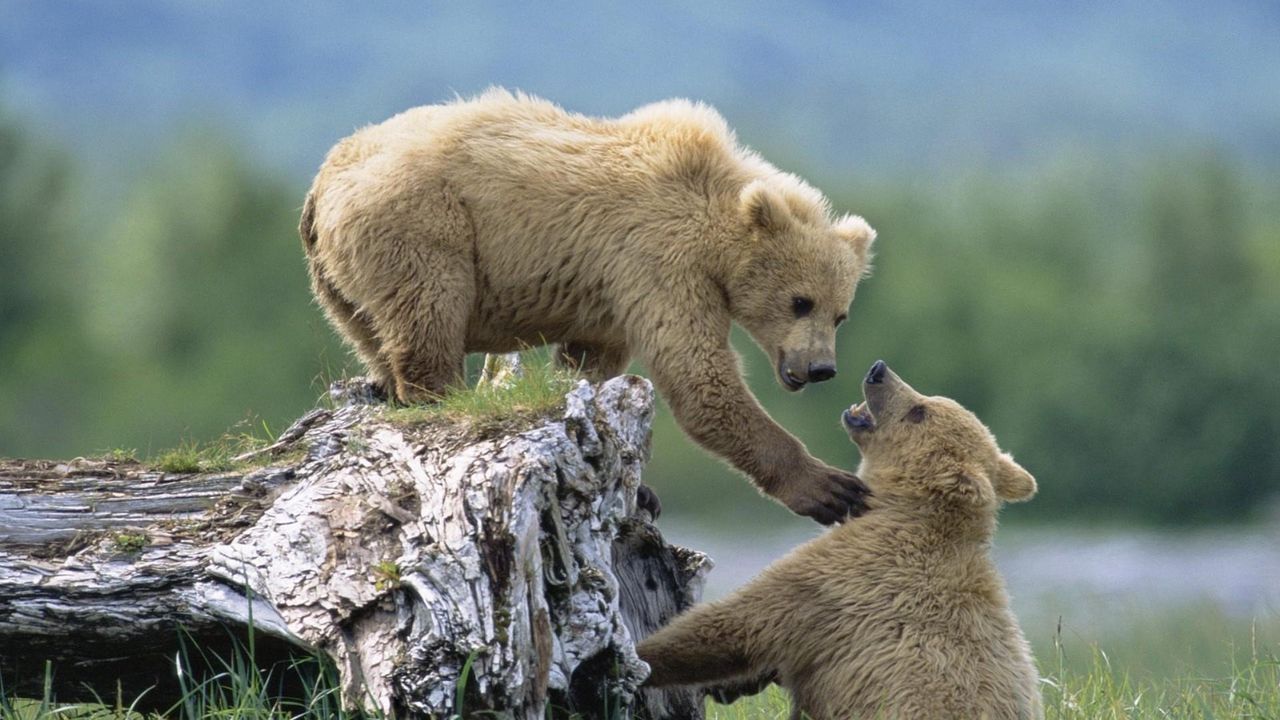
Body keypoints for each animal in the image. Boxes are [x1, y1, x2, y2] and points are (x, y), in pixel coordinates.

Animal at [302, 89, 880, 520]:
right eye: (800, 301)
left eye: (840, 313)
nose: (821, 368)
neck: (716, 222)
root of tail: (322, 181)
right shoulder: (658, 262)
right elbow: (699, 377)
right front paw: (831, 487)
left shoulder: (612, 294)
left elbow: (591, 363)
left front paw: (637, 485)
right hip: (421, 223)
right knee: (429, 313)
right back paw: (439, 395)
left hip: (338, 282)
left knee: (373, 334)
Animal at [634, 361, 1044, 712]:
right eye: (927, 401)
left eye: (919, 411)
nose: (879, 370)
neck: (900, 508)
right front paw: (732, 685)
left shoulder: (842, 581)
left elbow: (736, 624)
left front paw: (642, 655)